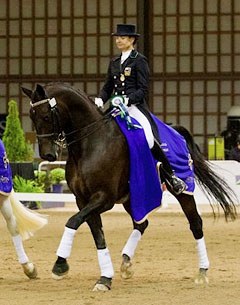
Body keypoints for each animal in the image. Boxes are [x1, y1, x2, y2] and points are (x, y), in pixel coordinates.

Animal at [22, 82, 236, 290]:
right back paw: (126, 263)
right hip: (133, 197)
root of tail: (175, 130)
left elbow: (72, 221)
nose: (48, 155)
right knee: (141, 224)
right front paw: (105, 278)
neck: (90, 144)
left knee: (196, 224)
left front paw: (60, 265)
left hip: (183, 192)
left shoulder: (103, 198)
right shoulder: (83, 200)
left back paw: (202, 272)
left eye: (46, 115)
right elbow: (97, 234)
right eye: (31, 116)